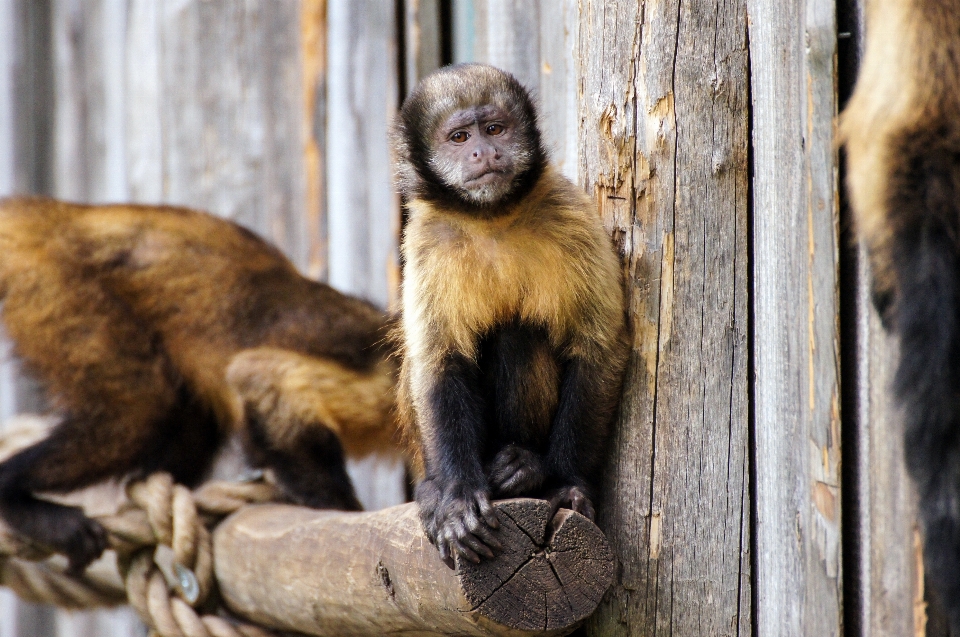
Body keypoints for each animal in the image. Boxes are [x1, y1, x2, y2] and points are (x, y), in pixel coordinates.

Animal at [0, 198, 400, 572]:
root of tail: (59, 214)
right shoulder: (388, 385)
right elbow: (256, 374)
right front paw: (338, 507)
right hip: (50, 280)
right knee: (138, 412)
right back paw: (13, 494)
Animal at [390, 64, 632, 568]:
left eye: (495, 129)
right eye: (459, 137)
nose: (484, 151)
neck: (491, 218)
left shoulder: (570, 214)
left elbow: (598, 348)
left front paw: (566, 483)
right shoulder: (427, 239)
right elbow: (439, 364)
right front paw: (456, 499)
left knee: (518, 334)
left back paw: (525, 467)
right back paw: (436, 488)